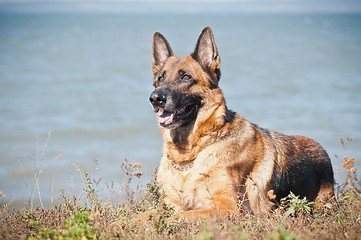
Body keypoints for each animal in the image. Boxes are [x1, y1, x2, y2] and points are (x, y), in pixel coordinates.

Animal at [144, 26, 334, 221]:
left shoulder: (227, 207)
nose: (155, 99)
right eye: (160, 79)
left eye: (186, 77)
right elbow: (144, 216)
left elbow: (175, 218)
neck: (190, 156)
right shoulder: (170, 205)